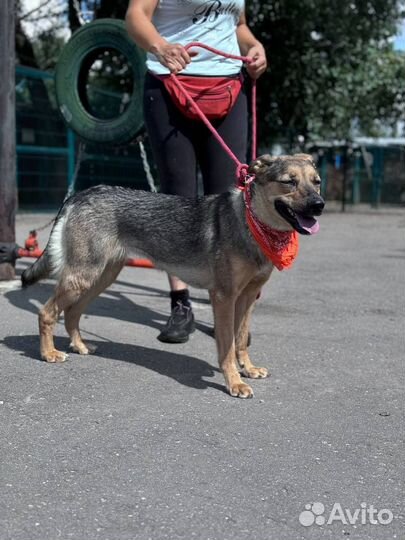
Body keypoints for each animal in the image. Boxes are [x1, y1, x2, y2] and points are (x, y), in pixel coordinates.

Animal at [22, 154, 324, 398]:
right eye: (289, 182)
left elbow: (240, 341)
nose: (319, 205)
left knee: (72, 313)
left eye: (317, 182)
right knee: (47, 313)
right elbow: (226, 347)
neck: (252, 225)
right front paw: (234, 383)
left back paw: (80, 346)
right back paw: (49, 354)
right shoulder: (224, 297)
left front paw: (247, 369)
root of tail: (81, 194)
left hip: (100, 277)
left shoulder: (249, 297)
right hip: (83, 277)